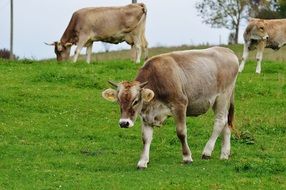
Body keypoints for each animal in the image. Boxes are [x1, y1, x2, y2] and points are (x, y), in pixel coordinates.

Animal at [103, 46, 239, 168]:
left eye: (135, 101)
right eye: (118, 101)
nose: (124, 123)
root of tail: (228, 51)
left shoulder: (180, 104)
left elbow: (181, 132)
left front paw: (187, 157)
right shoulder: (146, 115)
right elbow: (146, 138)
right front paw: (143, 161)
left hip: (222, 96)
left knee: (220, 121)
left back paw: (207, 151)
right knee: (226, 123)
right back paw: (224, 154)